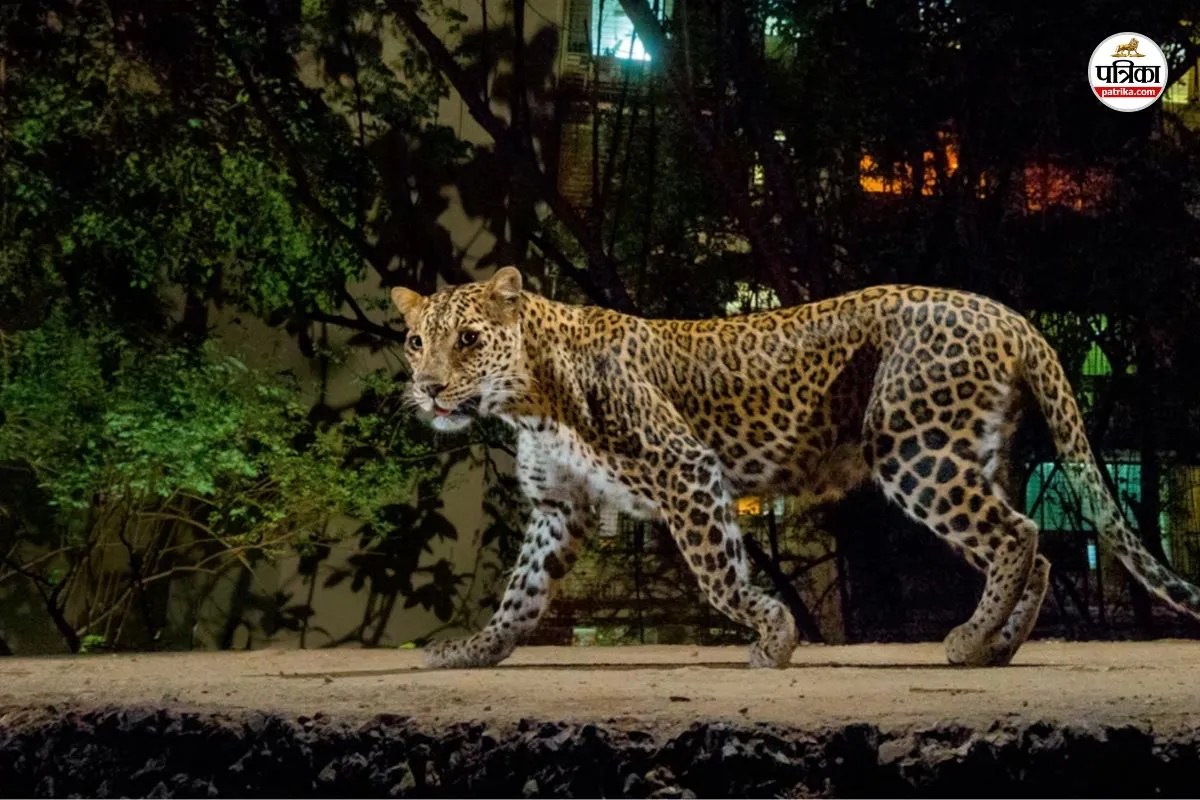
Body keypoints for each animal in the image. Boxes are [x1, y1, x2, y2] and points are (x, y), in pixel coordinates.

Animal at [391, 267, 1200, 669]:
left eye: (468, 339)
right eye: (414, 341)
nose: (427, 388)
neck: (529, 399)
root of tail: (1009, 315)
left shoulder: (687, 470)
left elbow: (720, 577)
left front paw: (774, 638)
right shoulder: (560, 509)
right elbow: (520, 596)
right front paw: (472, 652)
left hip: (915, 450)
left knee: (1018, 534)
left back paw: (969, 642)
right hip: (974, 453)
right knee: (1035, 546)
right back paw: (997, 647)